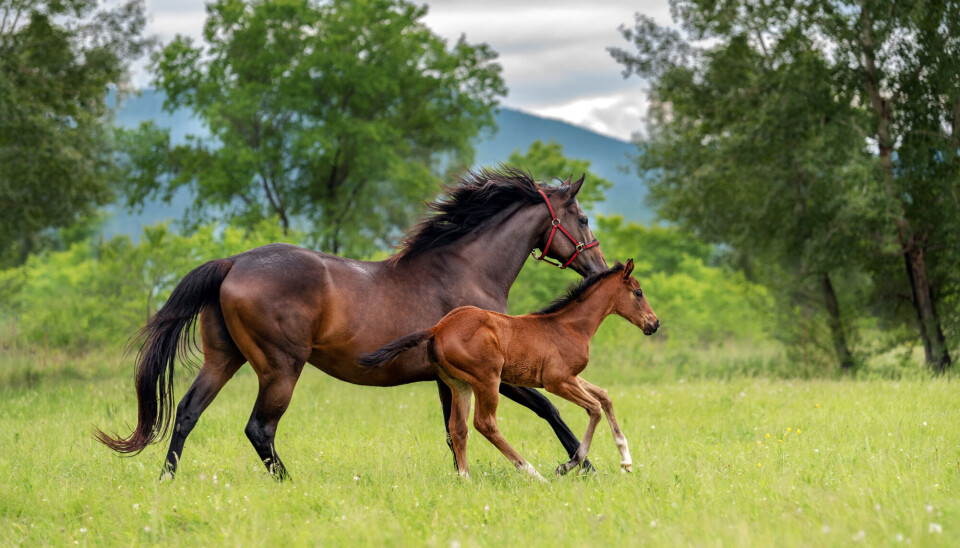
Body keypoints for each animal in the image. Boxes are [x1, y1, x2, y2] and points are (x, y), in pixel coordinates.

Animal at [97, 167, 608, 480]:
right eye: (582, 217)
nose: (600, 268)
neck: (466, 270)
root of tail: (234, 263)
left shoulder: (449, 380)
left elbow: (454, 433)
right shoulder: (493, 374)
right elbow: (549, 408)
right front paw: (582, 466)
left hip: (224, 360)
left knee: (187, 412)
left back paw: (167, 479)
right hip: (280, 369)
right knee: (259, 428)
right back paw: (288, 482)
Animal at [360, 262, 660, 480]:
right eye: (638, 293)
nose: (654, 323)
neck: (570, 326)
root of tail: (437, 328)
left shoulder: (572, 377)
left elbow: (605, 396)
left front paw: (626, 460)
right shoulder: (557, 381)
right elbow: (595, 408)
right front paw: (568, 464)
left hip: (459, 384)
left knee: (458, 427)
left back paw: (465, 478)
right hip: (487, 380)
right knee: (485, 424)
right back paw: (532, 473)